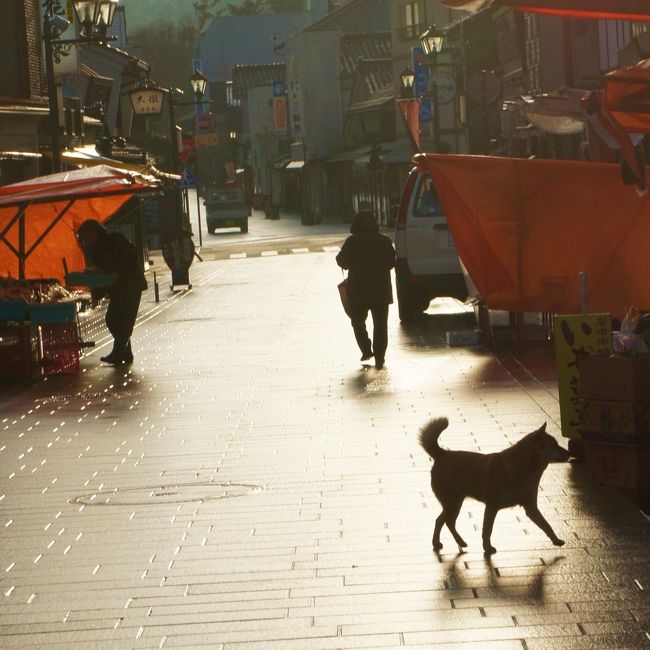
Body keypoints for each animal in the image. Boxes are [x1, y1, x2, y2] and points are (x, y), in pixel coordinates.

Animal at [420, 416, 568, 552]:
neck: (524, 467)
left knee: (441, 520)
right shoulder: (492, 506)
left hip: (452, 503)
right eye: (553, 445)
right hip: (453, 502)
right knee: (447, 522)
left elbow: (546, 524)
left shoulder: (531, 507)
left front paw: (556, 540)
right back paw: (457, 542)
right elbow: (487, 529)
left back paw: (443, 542)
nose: (569, 452)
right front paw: (487, 547)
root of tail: (442, 453)